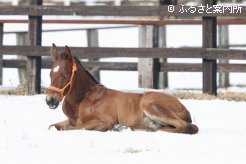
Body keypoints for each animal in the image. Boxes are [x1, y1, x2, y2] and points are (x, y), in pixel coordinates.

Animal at [46, 44, 199, 135]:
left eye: (65, 75)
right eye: (50, 74)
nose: (50, 101)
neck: (84, 99)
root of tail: (184, 107)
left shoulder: (104, 121)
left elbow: (76, 128)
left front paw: (116, 127)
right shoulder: (69, 121)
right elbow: (53, 126)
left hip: (150, 104)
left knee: (185, 126)